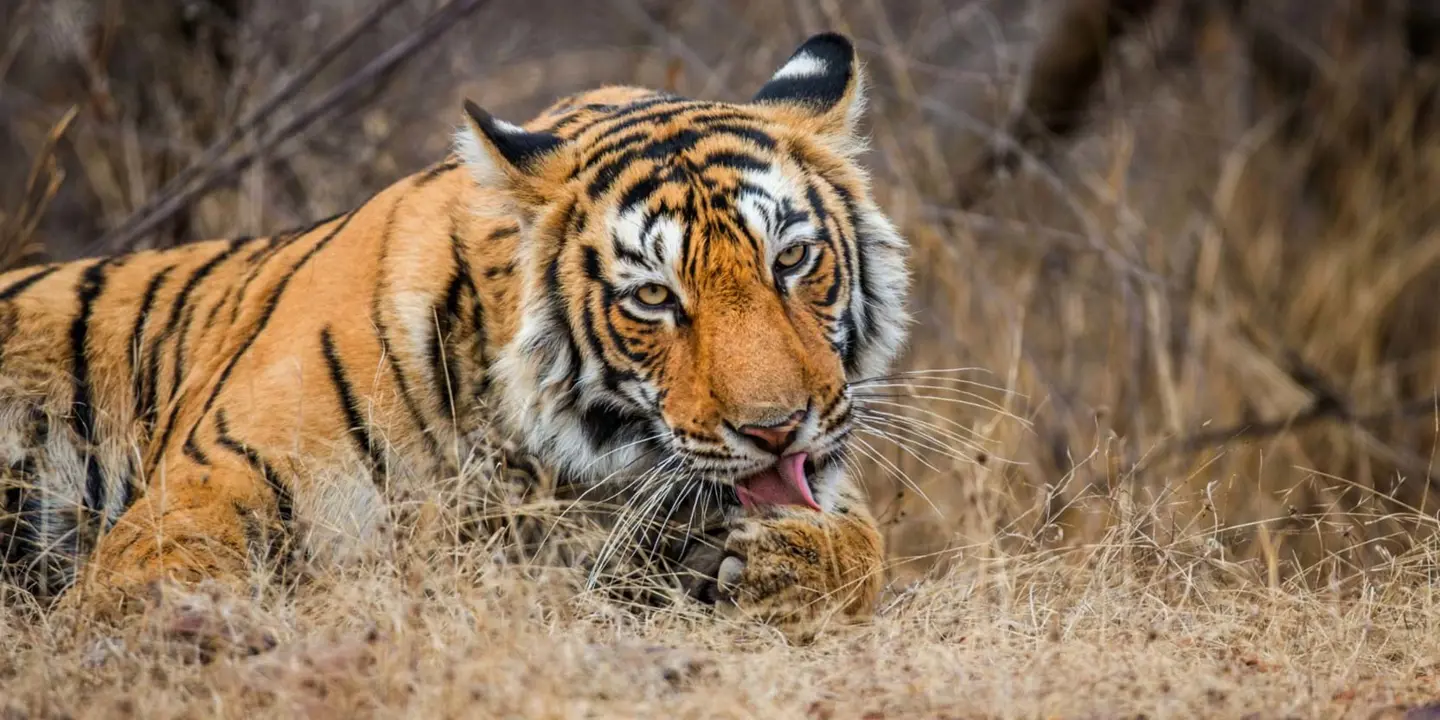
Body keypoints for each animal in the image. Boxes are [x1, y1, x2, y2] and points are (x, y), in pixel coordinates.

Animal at [0, 32, 911, 638]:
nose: (776, 430)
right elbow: (156, 580)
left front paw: (783, 563)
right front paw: (197, 628)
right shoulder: (209, 481)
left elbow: (862, 540)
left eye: (790, 259)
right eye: (653, 297)